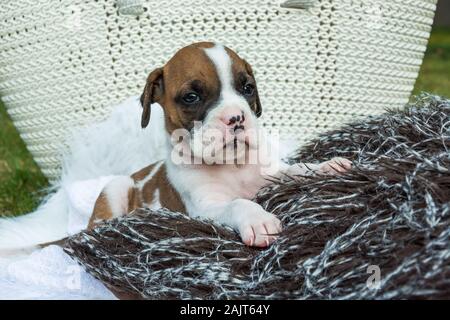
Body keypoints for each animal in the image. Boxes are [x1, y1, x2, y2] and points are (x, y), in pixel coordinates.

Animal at [89, 42, 352, 248]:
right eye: (191, 97)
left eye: (248, 88)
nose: (236, 118)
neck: (232, 166)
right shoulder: (205, 209)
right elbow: (237, 203)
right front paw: (258, 220)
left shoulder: (271, 174)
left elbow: (295, 169)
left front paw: (325, 167)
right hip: (116, 187)